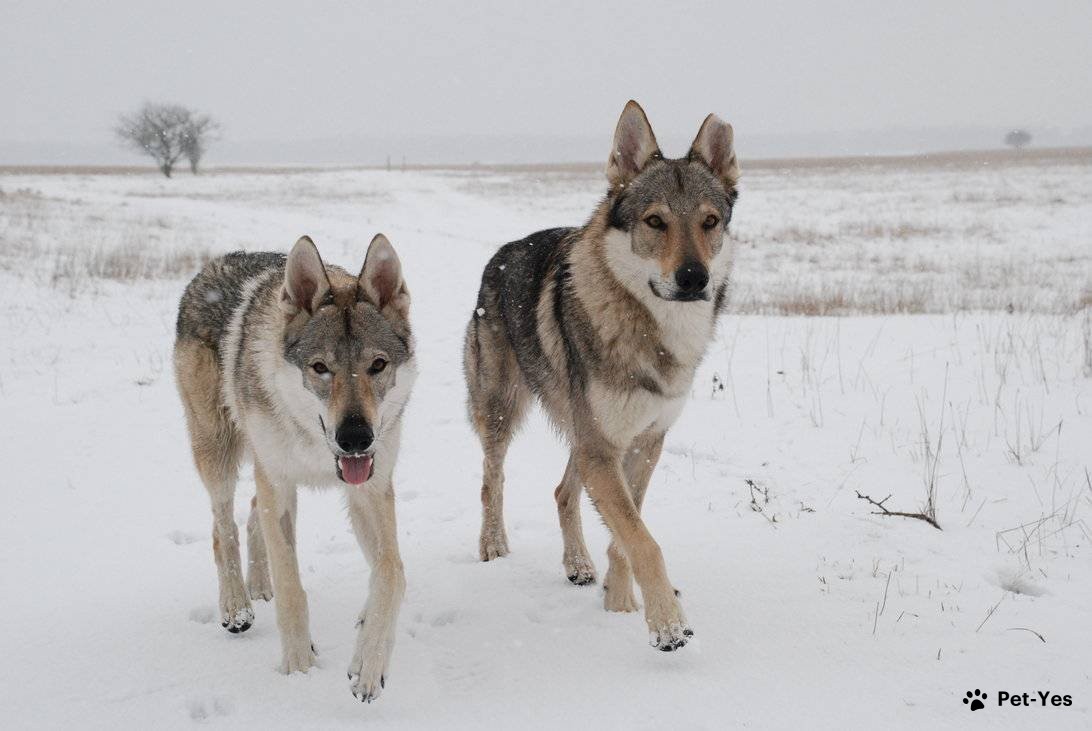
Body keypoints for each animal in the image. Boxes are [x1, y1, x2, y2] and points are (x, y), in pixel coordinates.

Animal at [174, 233, 412, 699]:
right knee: (223, 527)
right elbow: (291, 588)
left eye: (378, 365)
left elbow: (392, 572)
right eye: (320, 368)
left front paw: (368, 661)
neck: (317, 450)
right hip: (218, 453)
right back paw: (237, 606)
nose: (355, 438)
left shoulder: (370, 489)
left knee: (250, 514)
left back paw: (258, 586)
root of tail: (214, 263)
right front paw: (300, 670)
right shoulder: (280, 484)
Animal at [465, 98, 738, 651]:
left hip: (582, 433)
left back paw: (578, 565)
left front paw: (620, 602)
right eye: (655, 221)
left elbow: (627, 533)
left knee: (562, 492)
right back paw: (493, 545)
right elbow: (644, 541)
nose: (693, 278)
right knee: (491, 480)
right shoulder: (604, 449)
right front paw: (667, 624)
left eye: (709, 222)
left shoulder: (644, 441)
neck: (655, 335)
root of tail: (501, 252)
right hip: (504, 414)